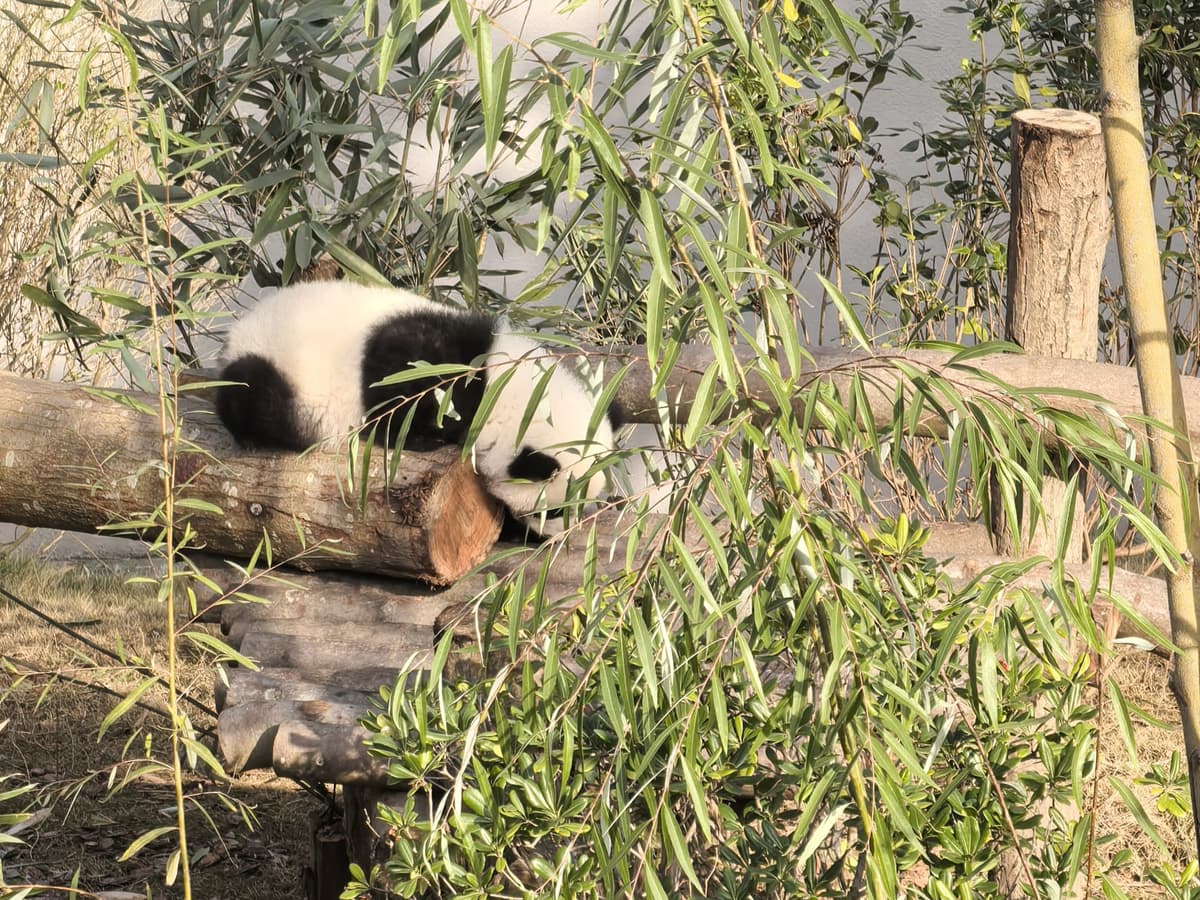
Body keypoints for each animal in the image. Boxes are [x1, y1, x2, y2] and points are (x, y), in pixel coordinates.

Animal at [215, 280, 621, 534]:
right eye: (554, 509)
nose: (554, 535)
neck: (505, 391)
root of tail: (239, 332)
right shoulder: (428, 361)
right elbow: (395, 392)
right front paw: (425, 439)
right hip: (282, 369)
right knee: (257, 398)